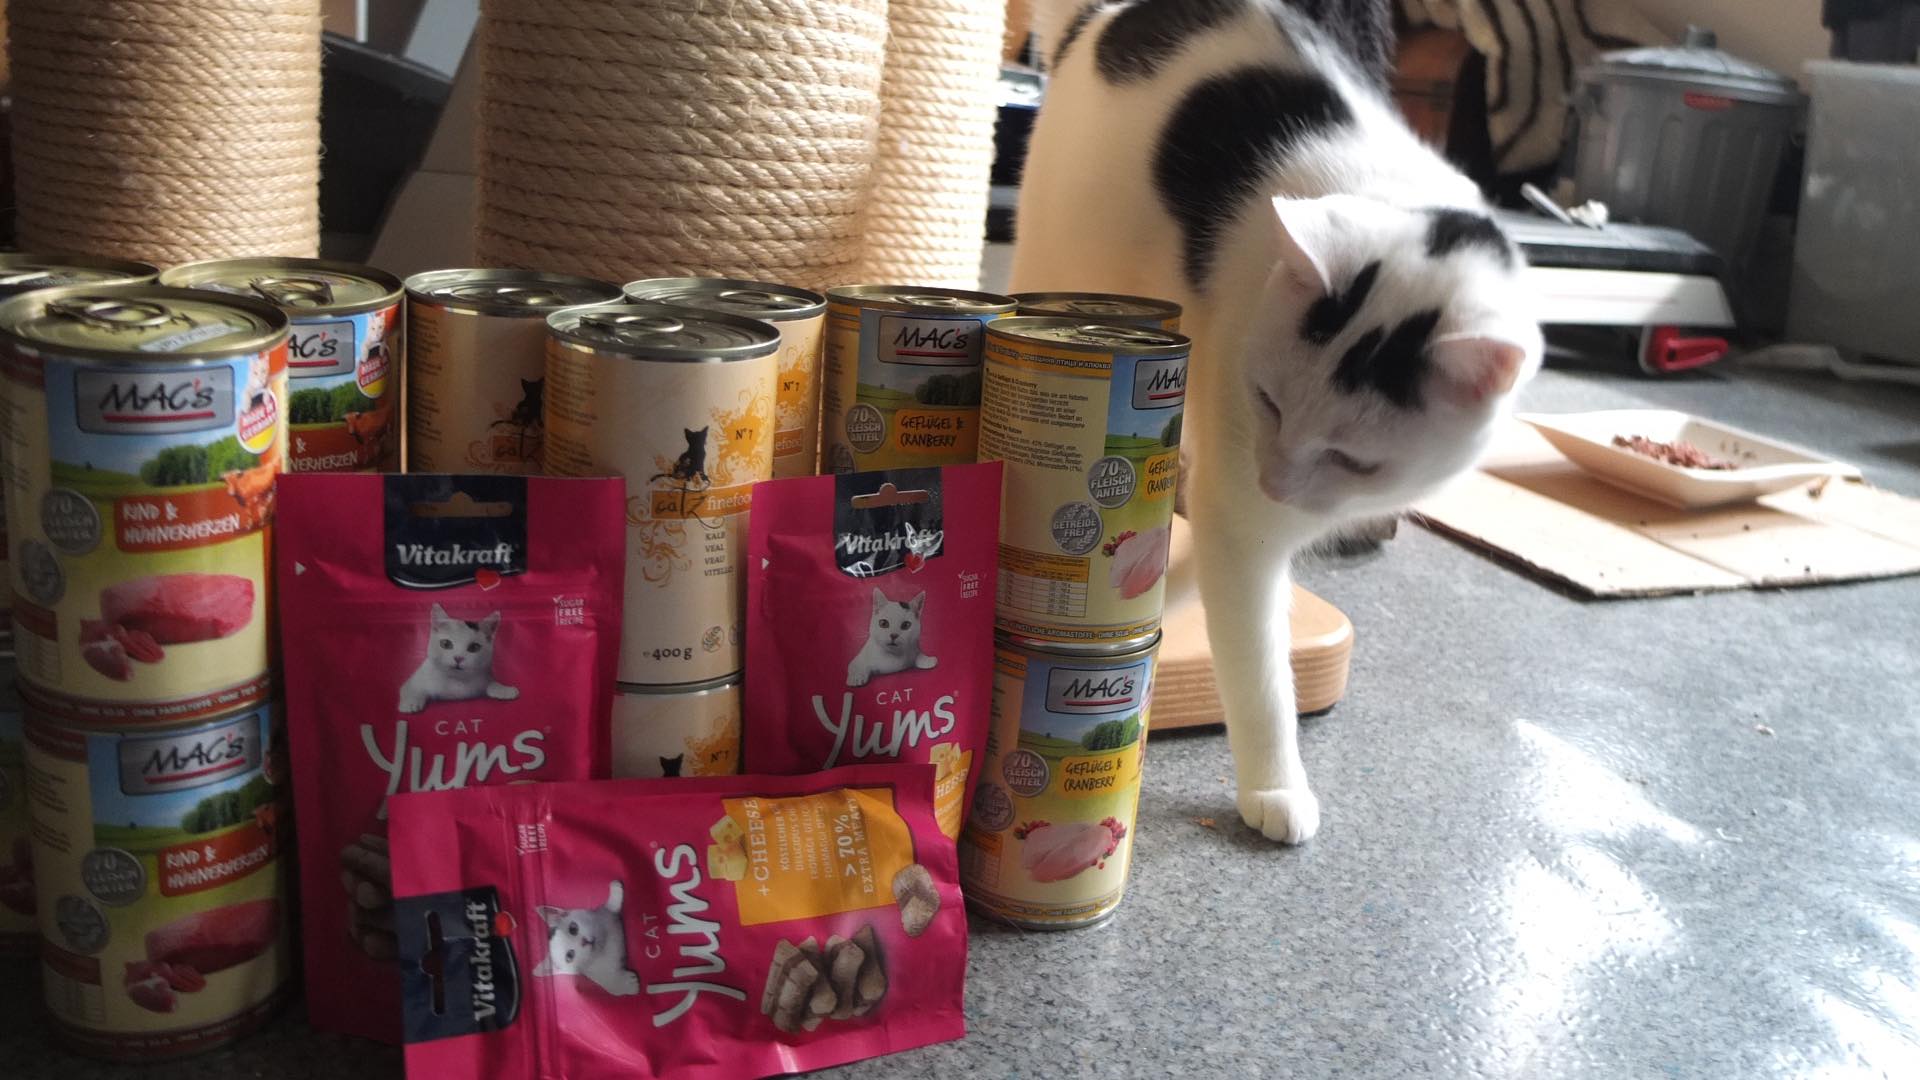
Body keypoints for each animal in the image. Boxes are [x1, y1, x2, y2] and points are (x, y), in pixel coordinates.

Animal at [1012, 0, 1541, 843]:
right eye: (1268, 401)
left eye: (1355, 460)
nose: (1276, 482)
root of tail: (1113, 14)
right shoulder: (1244, 503)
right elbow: (1257, 659)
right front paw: (1275, 784)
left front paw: (1161, 585)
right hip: (1064, 255)